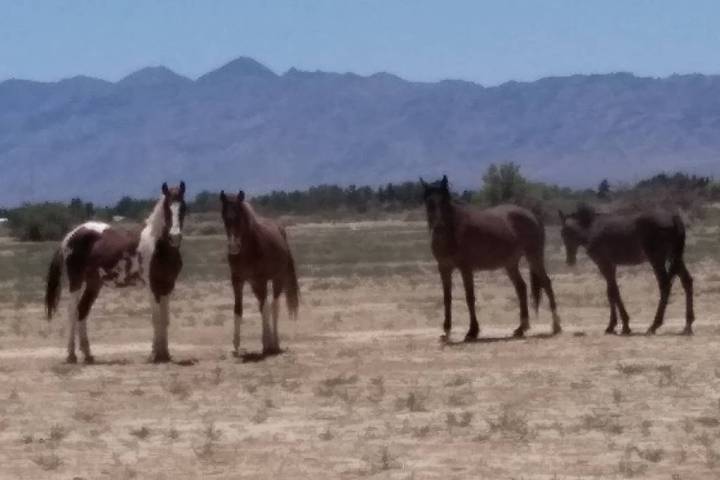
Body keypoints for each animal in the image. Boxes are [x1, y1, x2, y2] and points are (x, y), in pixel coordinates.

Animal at [45, 182, 187, 363]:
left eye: (183, 206)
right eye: (167, 208)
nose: (175, 236)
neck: (158, 246)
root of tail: (70, 236)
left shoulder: (167, 287)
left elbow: (165, 319)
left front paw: (165, 354)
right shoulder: (152, 287)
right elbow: (156, 319)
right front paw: (155, 354)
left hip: (94, 284)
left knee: (82, 311)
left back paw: (88, 354)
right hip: (76, 281)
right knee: (72, 312)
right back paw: (71, 355)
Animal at [219, 189, 299, 356]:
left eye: (240, 216)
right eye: (224, 218)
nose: (233, 247)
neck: (247, 250)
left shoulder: (262, 280)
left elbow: (265, 308)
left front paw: (266, 344)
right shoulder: (237, 280)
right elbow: (238, 309)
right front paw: (235, 345)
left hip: (277, 280)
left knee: (274, 306)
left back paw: (275, 343)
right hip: (255, 284)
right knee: (265, 306)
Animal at [421, 175, 560, 341]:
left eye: (444, 202)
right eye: (429, 203)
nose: (439, 228)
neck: (453, 232)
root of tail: (533, 216)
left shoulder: (466, 269)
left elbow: (469, 297)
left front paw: (472, 331)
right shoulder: (444, 268)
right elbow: (447, 298)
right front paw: (447, 331)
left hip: (534, 257)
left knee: (546, 283)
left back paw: (556, 326)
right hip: (511, 264)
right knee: (521, 288)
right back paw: (521, 328)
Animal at [559, 204, 694, 335]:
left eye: (565, 232)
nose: (570, 261)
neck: (591, 228)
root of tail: (674, 218)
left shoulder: (604, 264)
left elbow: (613, 292)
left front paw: (620, 326)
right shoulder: (611, 265)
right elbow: (611, 292)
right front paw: (616, 326)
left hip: (657, 259)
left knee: (665, 285)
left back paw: (654, 326)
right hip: (675, 257)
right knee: (687, 281)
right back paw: (687, 325)